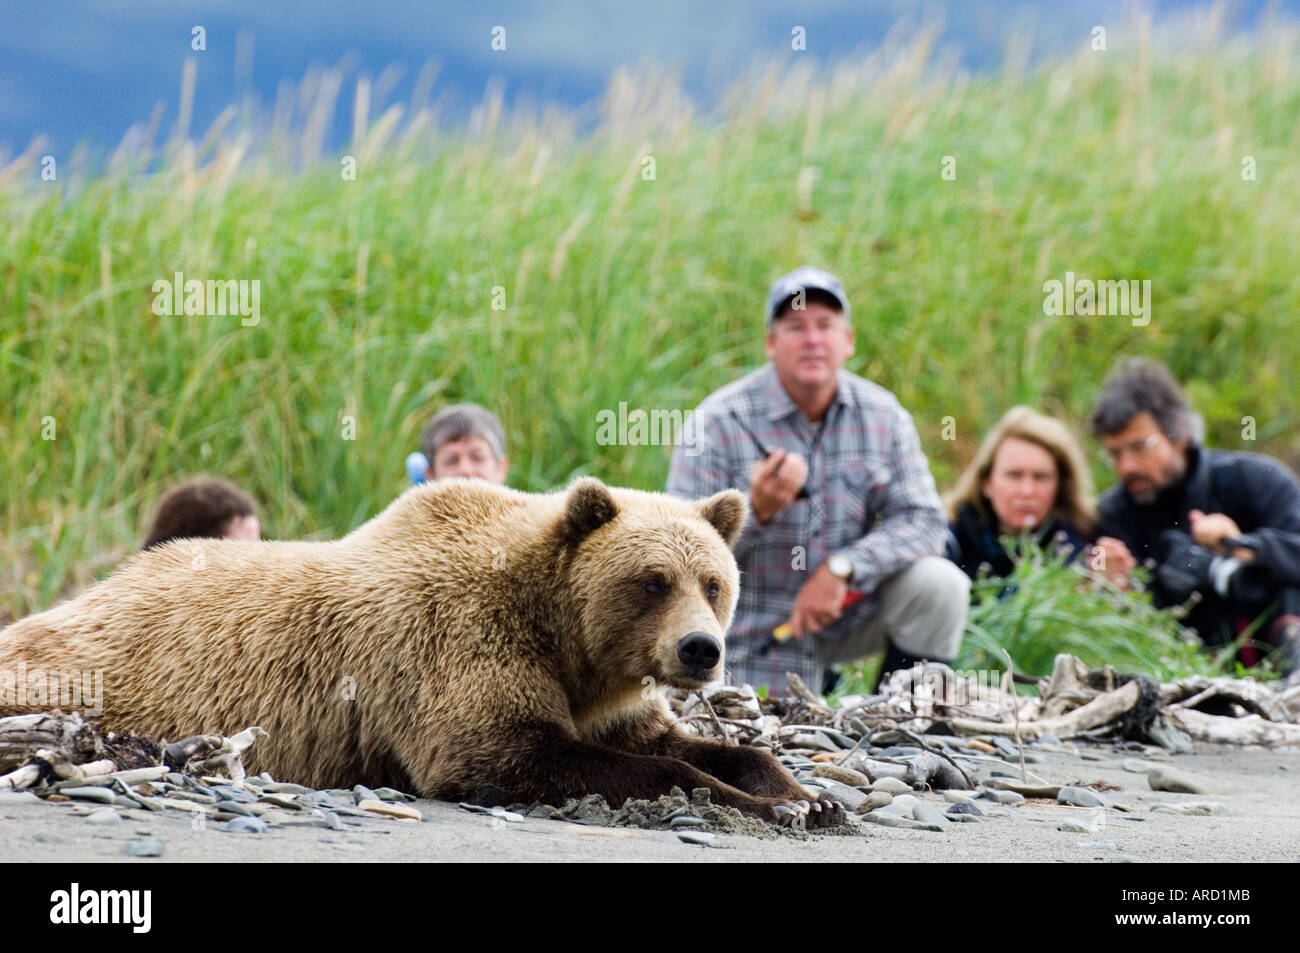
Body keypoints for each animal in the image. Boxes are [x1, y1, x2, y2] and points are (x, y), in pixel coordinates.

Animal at [0, 475, 842, 826]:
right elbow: (509, 752)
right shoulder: (457, 649)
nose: (701, 650)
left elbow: (685, 742)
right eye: (652, 579)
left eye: (714, 581)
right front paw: (762, 804)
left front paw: (804, 794)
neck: (561, 638)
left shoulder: (606, 694)